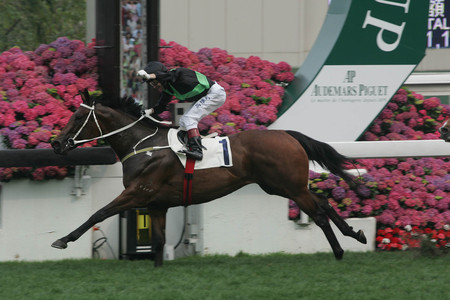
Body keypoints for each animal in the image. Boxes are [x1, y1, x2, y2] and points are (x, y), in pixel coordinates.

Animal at [50, 90, 366, 266]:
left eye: (77, 118)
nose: (57, 144)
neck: (143, 145)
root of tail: (288, 134)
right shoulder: (157, 204)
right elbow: (158, 241)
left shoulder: (138, 192)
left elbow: (98, 213)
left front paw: (63, 240)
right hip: (281, 186)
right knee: (323, 202)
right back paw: (356, 234)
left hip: (289, 186)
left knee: (319, 214)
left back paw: (339, 251)